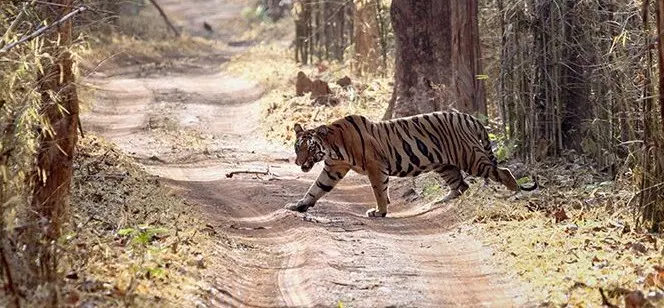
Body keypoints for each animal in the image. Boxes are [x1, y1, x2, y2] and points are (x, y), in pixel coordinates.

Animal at [282, 110, 536, 217]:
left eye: (310, 148)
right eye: (297, 147)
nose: (298, 162)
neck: (333, 148)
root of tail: (469, 117)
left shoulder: (375, 166)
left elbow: (379, 190)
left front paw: (380, 211)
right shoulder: (333, 169)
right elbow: (316, 189)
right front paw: (298, 205)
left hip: (471, 158)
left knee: (502, 171)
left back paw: (515, 194)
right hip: (445, 165)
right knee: (461, 186)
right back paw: (439, 201)